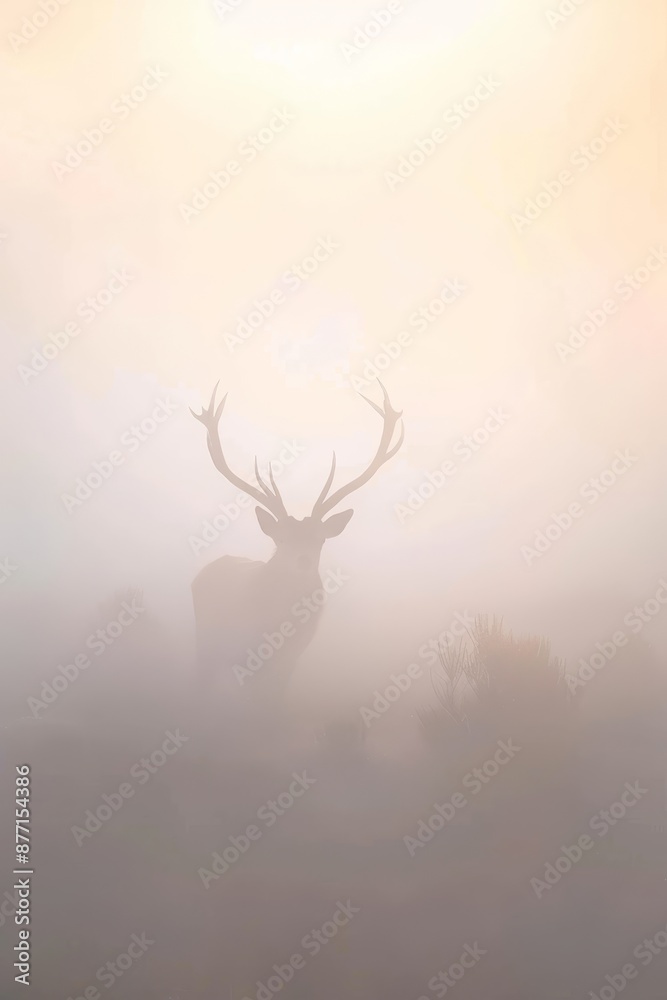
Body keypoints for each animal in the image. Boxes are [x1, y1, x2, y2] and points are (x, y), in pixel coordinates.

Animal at [190, 379, 404, 712]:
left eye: (320, 538)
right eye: (280, 538)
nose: (302, 560)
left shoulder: (289, 662)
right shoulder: (246, 657)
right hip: (205, 642)